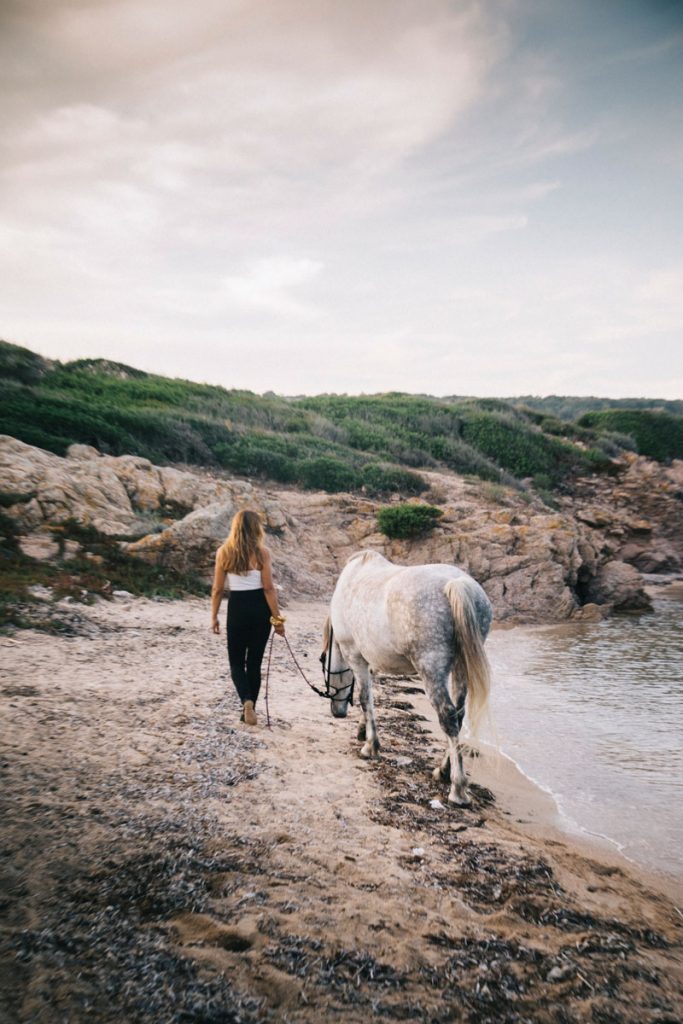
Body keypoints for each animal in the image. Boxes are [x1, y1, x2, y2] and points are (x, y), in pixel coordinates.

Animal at [321, 550, 493, 805]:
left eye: (323, 659)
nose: (337, 711)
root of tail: (456, 583)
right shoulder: (371, 660)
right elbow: (369, 697)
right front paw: (363, 732)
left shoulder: (356, 656)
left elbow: (365, 698)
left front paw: (371, 746)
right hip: (460, 667)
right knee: (458, 715)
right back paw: (443, 770)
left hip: (430, 669)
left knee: (448, 717)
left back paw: (457, 788)